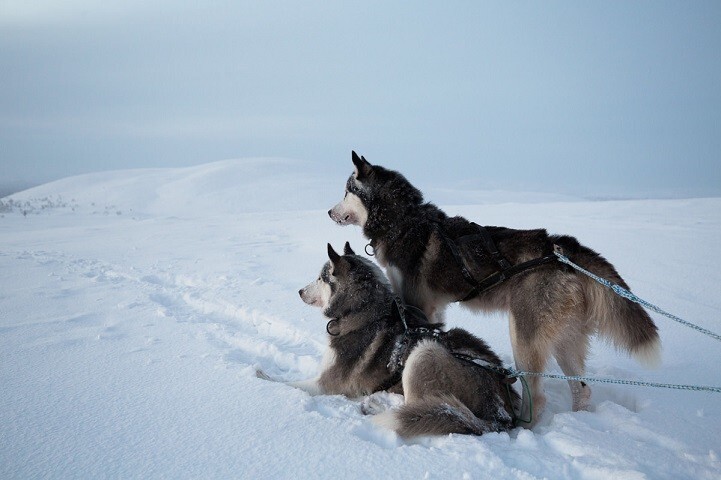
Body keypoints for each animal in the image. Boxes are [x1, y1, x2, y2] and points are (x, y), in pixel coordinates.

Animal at [286, 246, 516, 436]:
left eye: (320, 278)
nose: (299, 291)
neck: (362, 311)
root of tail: (500, 410)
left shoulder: (327, 384)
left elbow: (289, 384)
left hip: (423, 353)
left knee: (417, 408)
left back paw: (376, 406)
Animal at [330, 152, 660, 422]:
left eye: (346, 191)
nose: (330, 213)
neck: (403, 222)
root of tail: (562, 248)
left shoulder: (416, 301)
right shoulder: (434, 308)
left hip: (524, 333)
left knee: (537, 396)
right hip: (566, 338)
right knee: (582, 389)